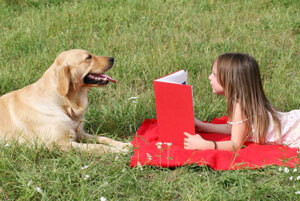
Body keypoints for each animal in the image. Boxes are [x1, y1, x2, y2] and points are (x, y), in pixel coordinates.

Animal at [0, 49, 131, 153]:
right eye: (88, 57)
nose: (112, 58)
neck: (65, 105)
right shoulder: (60, 144)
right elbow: (97, 147)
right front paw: (118, 151)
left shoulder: (79, 132)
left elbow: (104, 138)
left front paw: (125, 145)